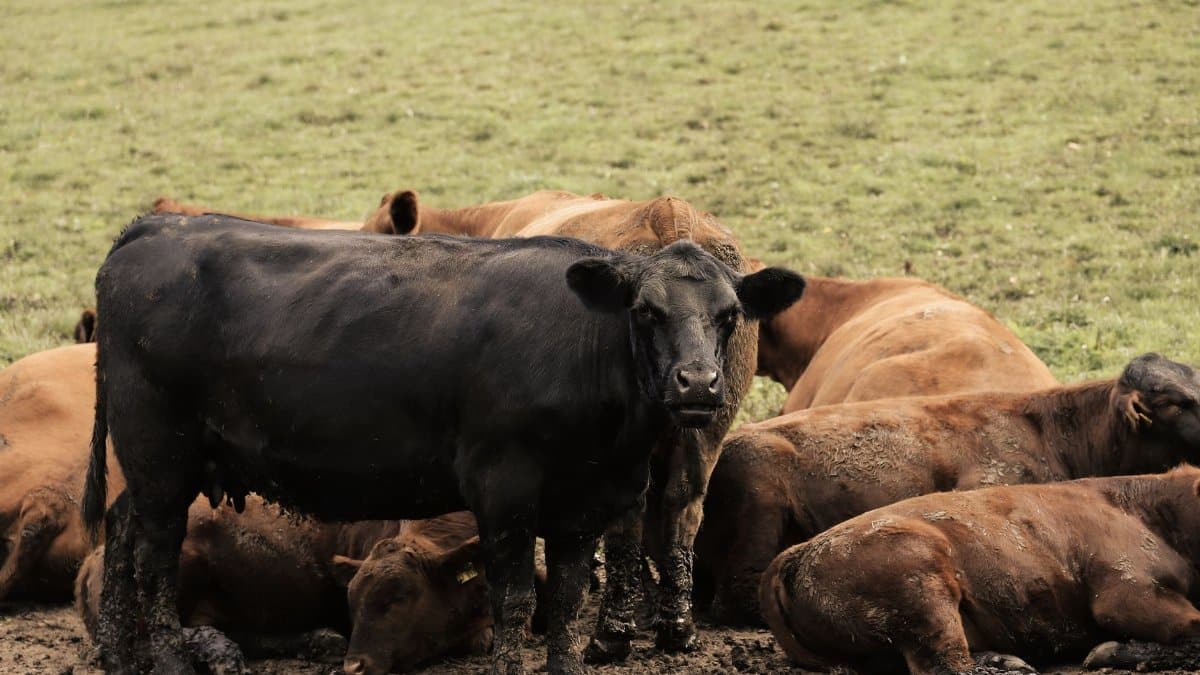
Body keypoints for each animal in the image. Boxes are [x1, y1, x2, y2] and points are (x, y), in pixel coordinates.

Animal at [77, 503, 499, 673]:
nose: (355, 666)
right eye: (354, 601)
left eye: (399, 597)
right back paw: (223, 653)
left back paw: (320, 640)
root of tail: (92, 556)